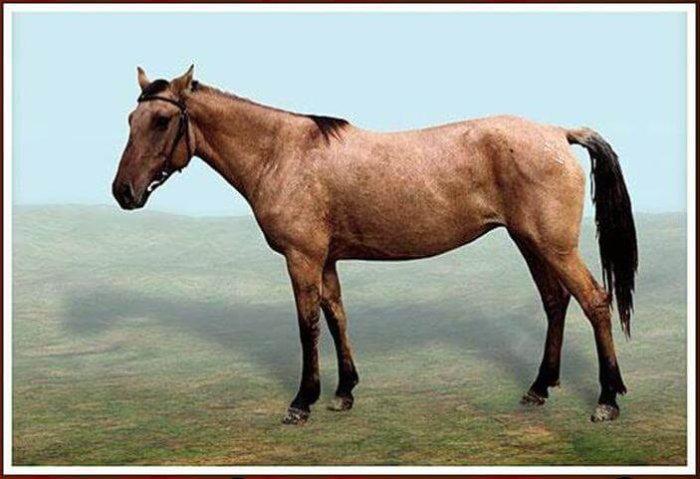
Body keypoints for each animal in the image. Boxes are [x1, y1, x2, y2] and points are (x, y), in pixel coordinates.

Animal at [112, 66, 637, 425]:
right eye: (132, 118)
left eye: (162, 120)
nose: (123, 192)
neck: (282, 153)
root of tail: (558, 133)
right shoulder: (325, 259)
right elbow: (336, 316)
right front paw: (344, 391)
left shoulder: (302, 259)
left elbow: (307, 325)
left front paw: (302, 402)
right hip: (530, 242)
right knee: (555, 302)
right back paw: (539, 388)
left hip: (554, 246)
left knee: (594, 301)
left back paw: (607, 399)